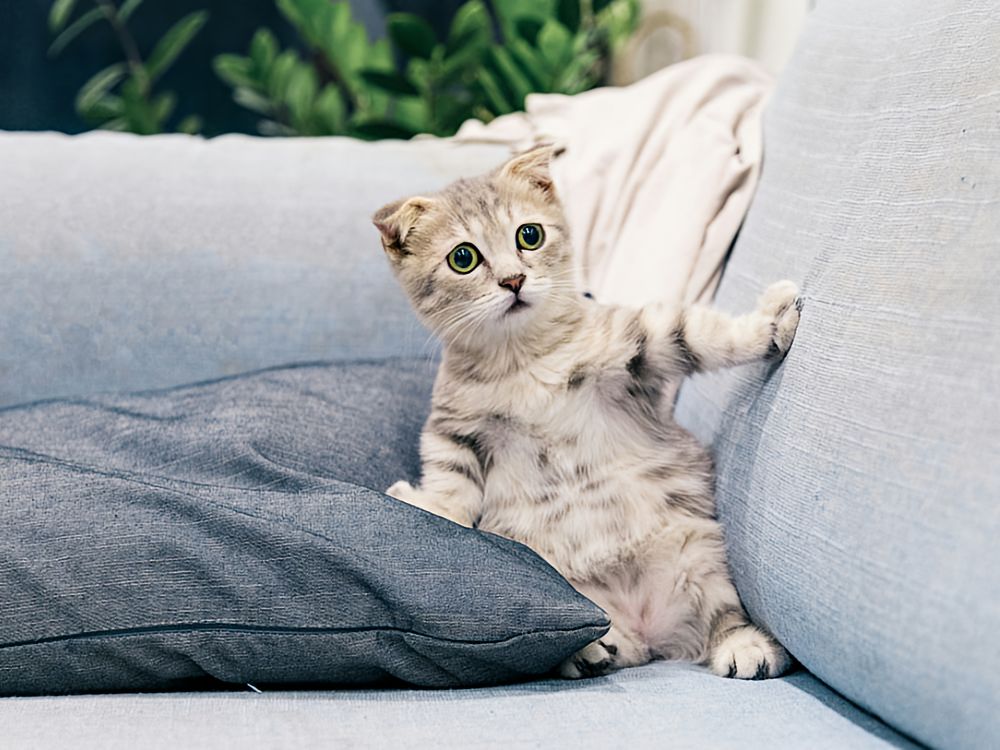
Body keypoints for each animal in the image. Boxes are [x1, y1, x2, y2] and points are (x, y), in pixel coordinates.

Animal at [372, 147, 800, 680]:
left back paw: (744, 646)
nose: (513, 280)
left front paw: (771, 324)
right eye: (463, 258)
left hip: (700, 552)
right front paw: (429, 506)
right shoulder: (454, 430)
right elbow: (451, 486)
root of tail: (648, 628)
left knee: (723, 614)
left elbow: (698, 333)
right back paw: (593, 649)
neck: (522, 360)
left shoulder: (637, 345)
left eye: (529, 235)